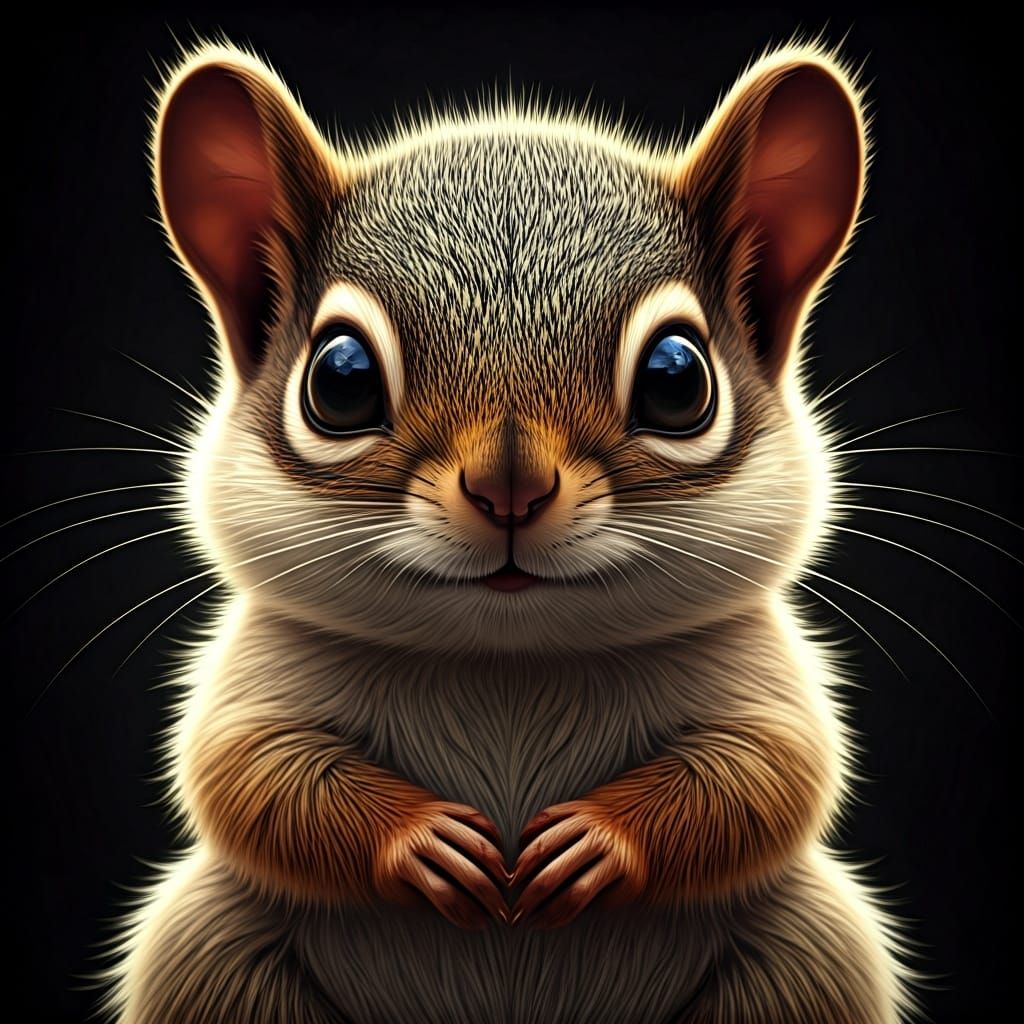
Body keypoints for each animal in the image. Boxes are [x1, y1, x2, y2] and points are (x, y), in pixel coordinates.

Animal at [105, 38, 914, 1024]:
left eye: (677, 378)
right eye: (340, 378)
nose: (510, 487)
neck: (508, 657)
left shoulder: (762, 674)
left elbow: (769, 771)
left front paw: (597, 840)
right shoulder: (256, 673)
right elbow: (249, 772)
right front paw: (423, 840)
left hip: (802, 961)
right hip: (215, 961)